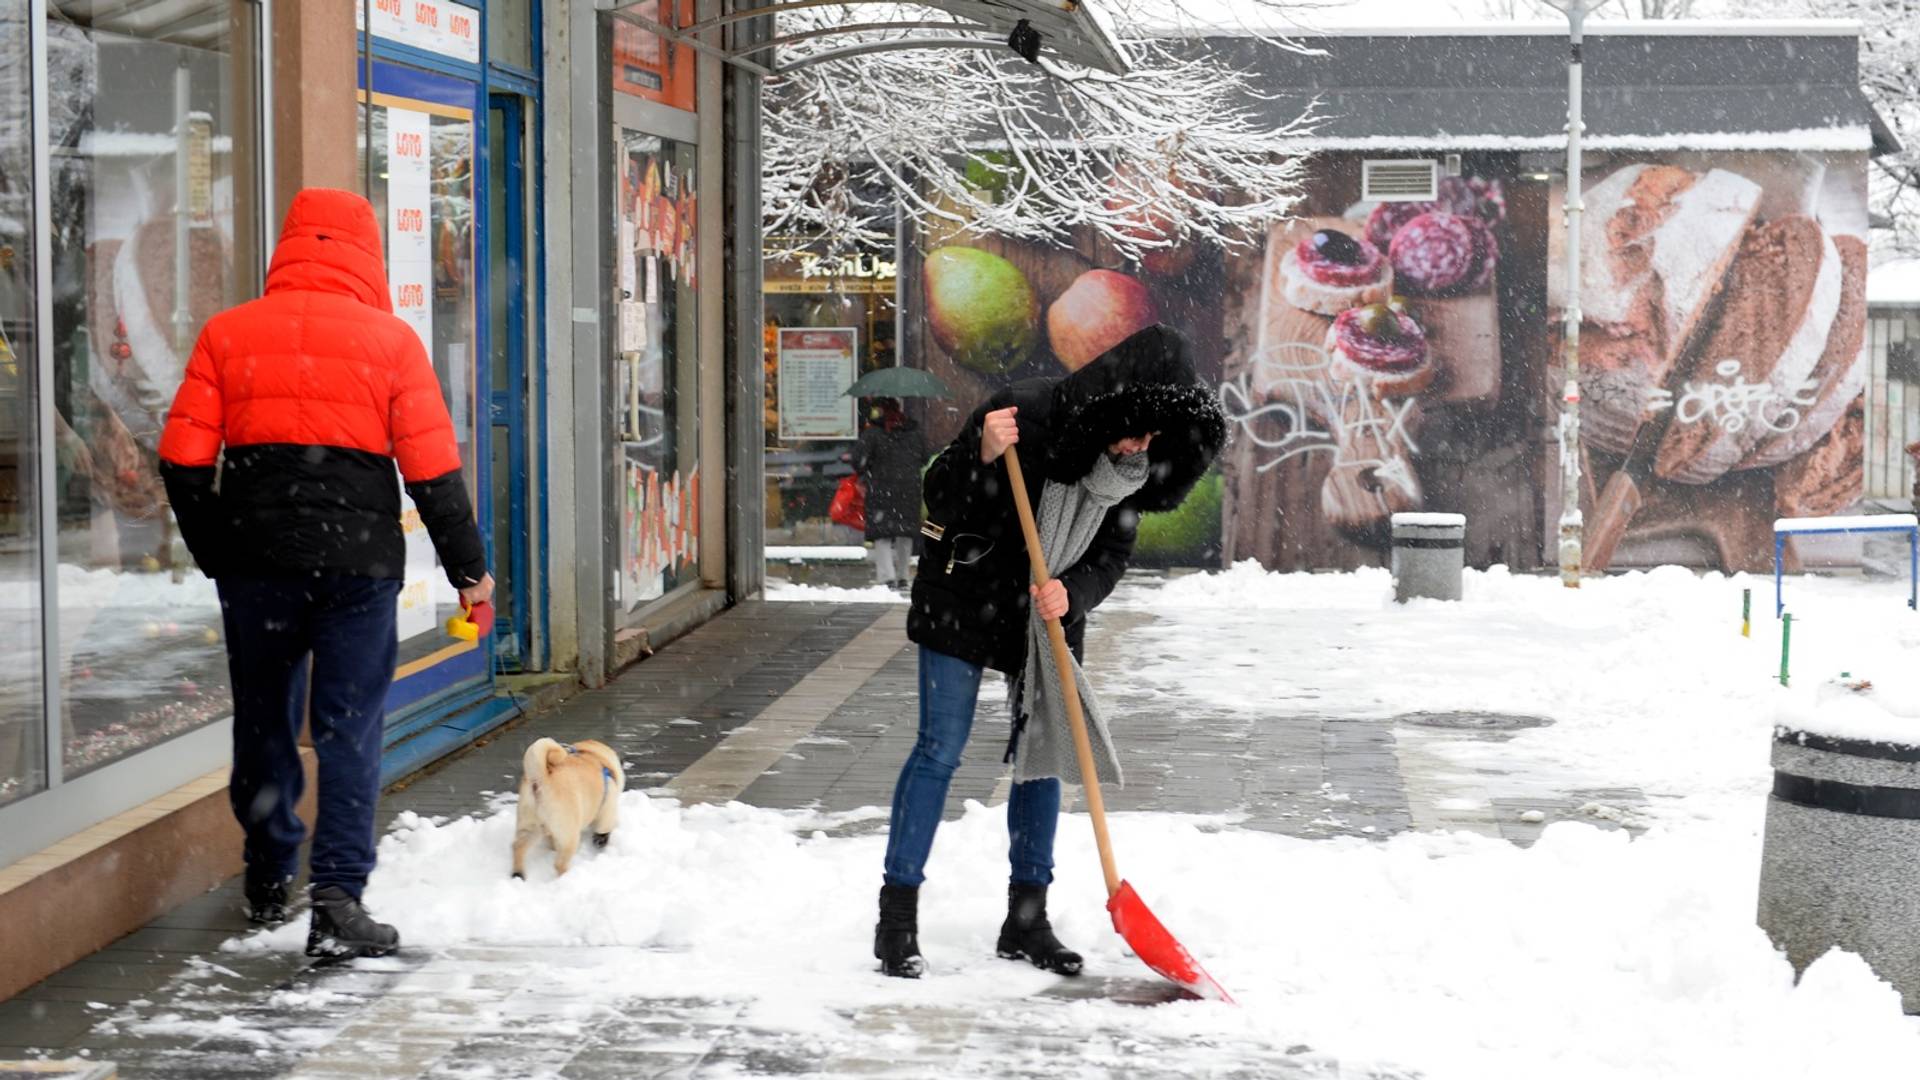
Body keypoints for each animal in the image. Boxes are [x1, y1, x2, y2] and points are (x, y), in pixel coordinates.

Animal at [514, 730, 625, 876]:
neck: (595, 756)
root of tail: (541, 778)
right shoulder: (607, 809)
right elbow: (603, 830)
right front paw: (600, 842)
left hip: (529, 825)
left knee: (518, 847)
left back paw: (518, 873)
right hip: (569, 834)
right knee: (559, 863)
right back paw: (566, 874)